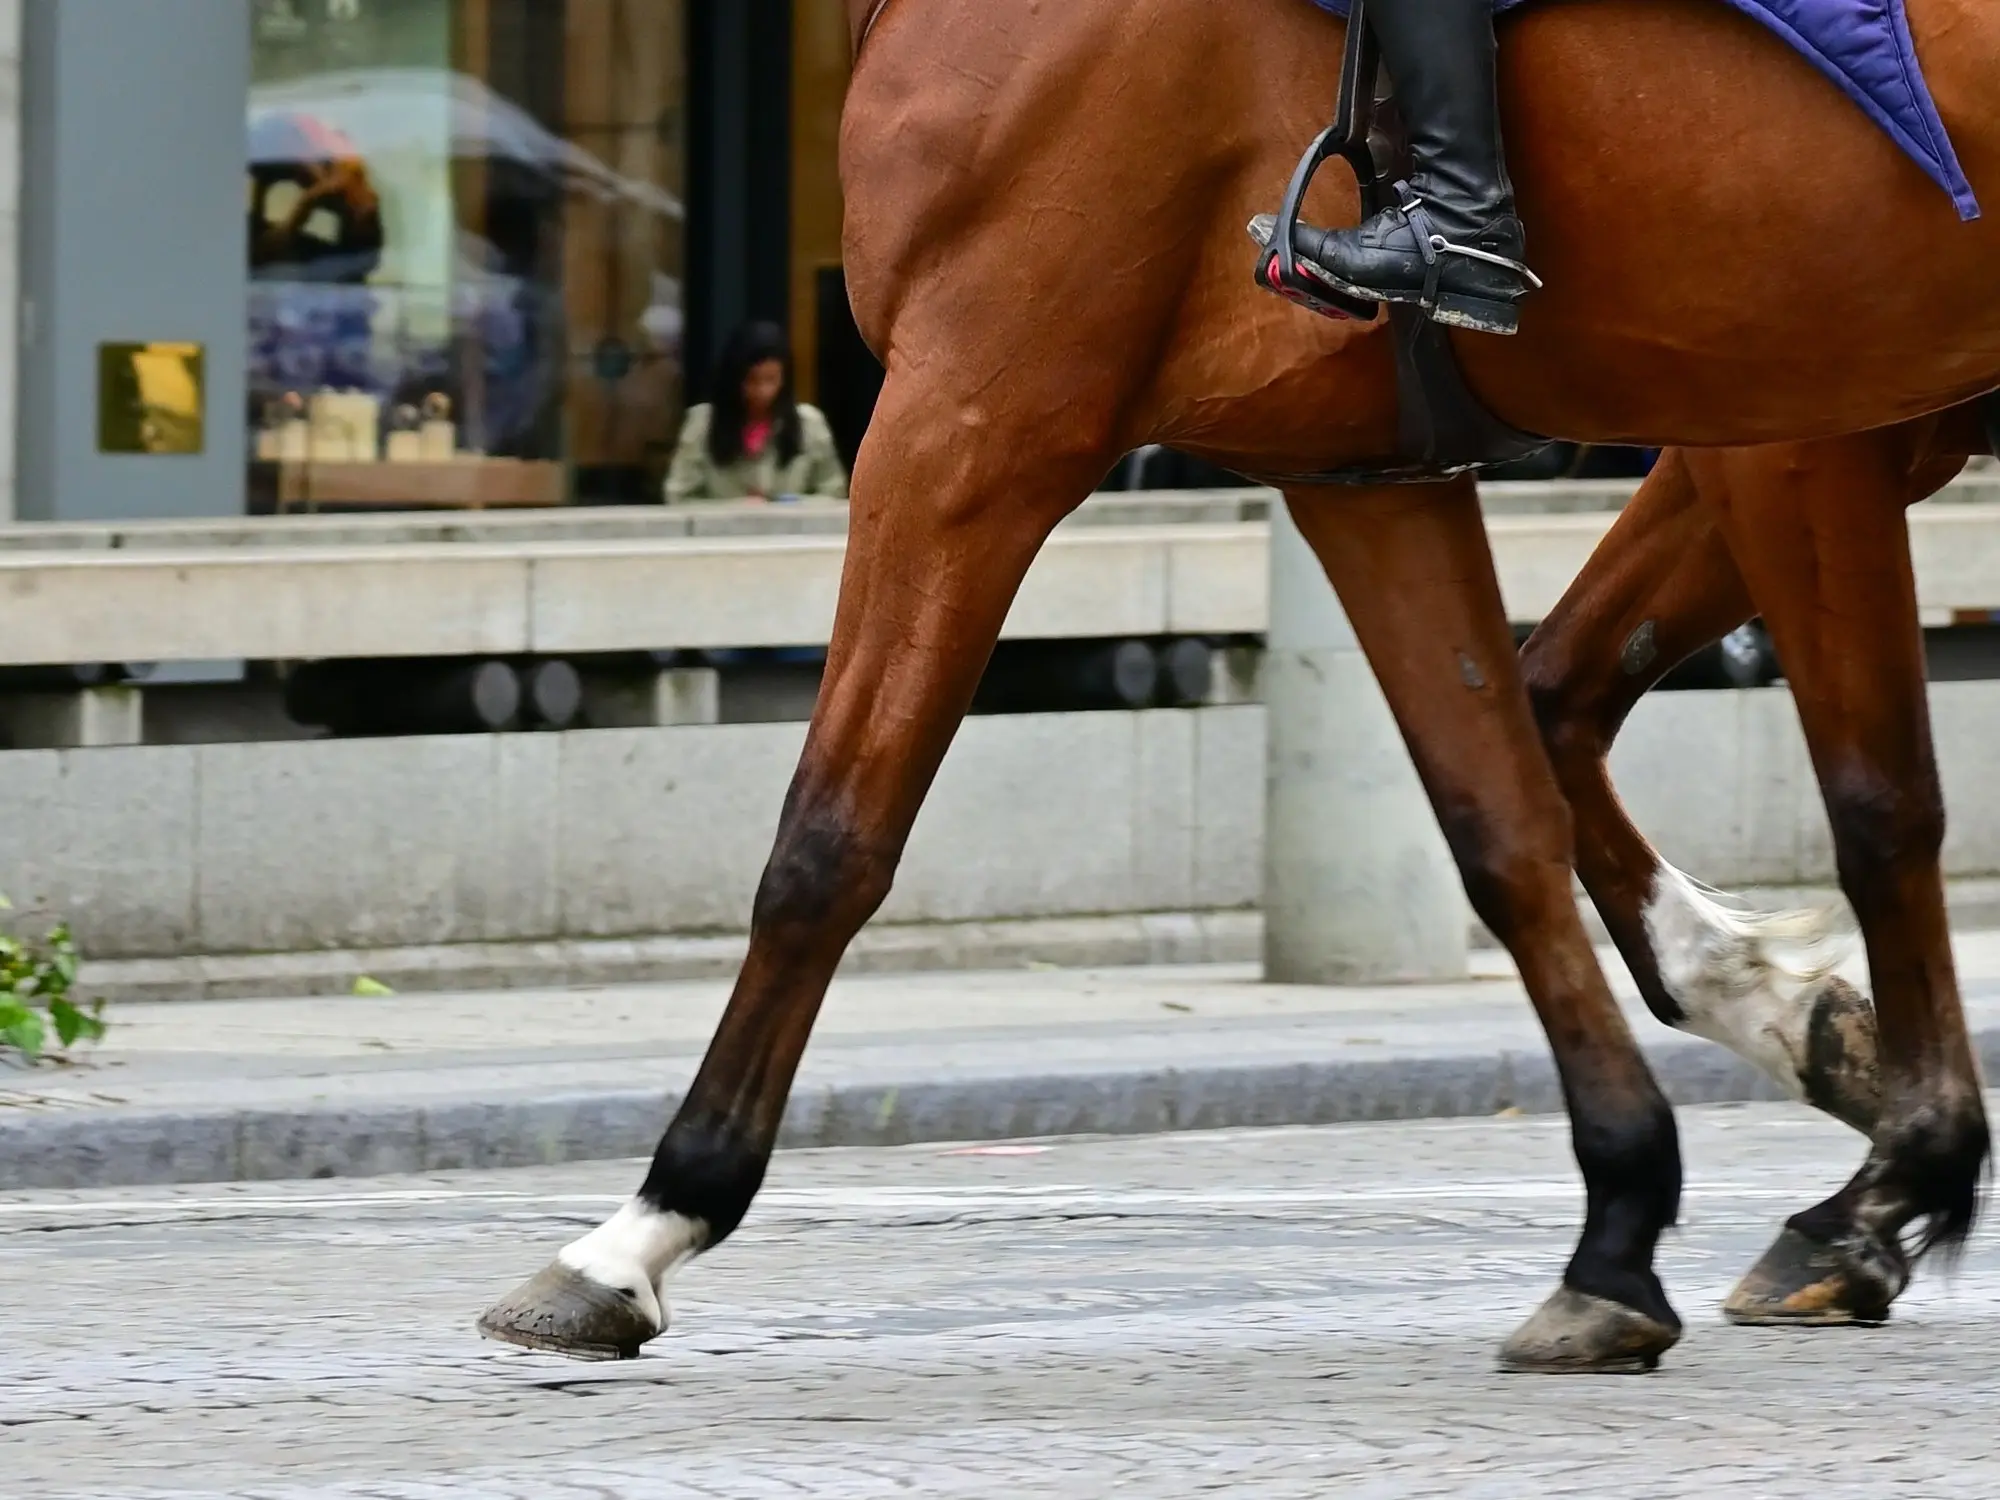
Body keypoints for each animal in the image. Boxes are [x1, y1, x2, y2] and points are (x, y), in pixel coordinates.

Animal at [476, 0, 1992, 1376]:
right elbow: (1502, 821)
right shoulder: (1364, 474)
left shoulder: (972, 410)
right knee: (1561, 718)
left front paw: (649, 1224)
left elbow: (828, 843)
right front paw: (1630, 1213)